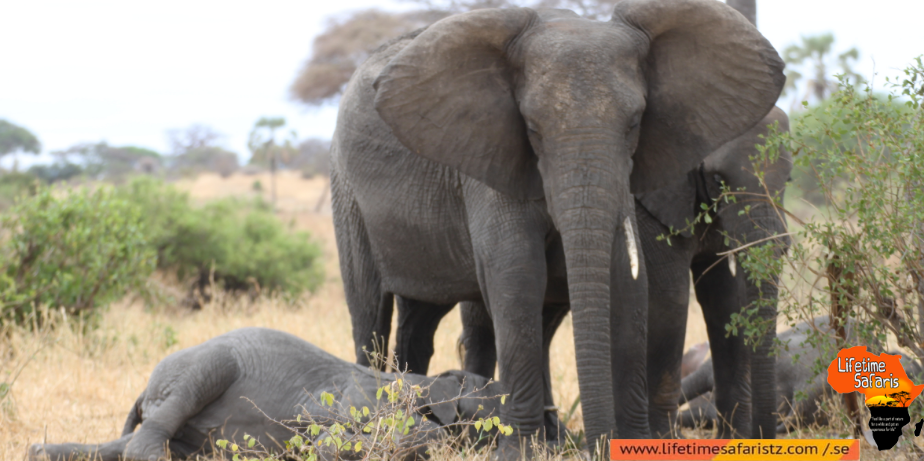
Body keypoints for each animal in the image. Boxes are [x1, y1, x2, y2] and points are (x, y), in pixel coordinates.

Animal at [27, 328, 501, 461]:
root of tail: (145, 392)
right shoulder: (361, 394)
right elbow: (426, 432)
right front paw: (327, 445)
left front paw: (322, 446)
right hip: (203, 365)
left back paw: (38, 452)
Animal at [331, 0, 784, 454]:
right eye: (532, 128)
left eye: (635, 123)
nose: (598, 446)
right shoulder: (489, 159)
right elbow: (518, 277)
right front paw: (519, 452)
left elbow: (633, 283)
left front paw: (636, 442)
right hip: (346, 196)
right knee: (370, 313)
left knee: (424, 320)